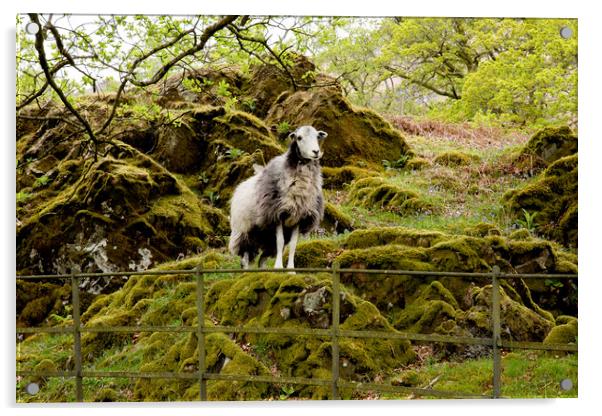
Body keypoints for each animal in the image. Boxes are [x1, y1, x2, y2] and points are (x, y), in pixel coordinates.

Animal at [227, 126, 326, 270]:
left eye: (317, 136)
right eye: (299, 137)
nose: (316, 152)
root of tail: (239, 187)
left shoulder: (298, 218)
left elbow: (293, 244)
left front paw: (291, 269)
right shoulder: (277, 214)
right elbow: (280, 240)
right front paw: (279, 267)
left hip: (265, 237)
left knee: (261, 259)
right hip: (244, 230)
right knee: (245, 256)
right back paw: (246, 271)